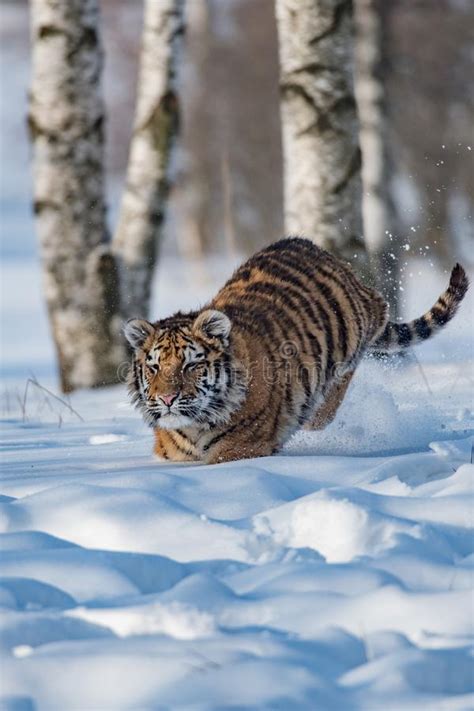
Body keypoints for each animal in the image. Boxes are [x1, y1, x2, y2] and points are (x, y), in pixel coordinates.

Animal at [124, 236, 468, 464]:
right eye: (154, 367)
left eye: (190, 365)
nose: (167, 399)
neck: (193, 427)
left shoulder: (241, 449)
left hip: (351, 341)